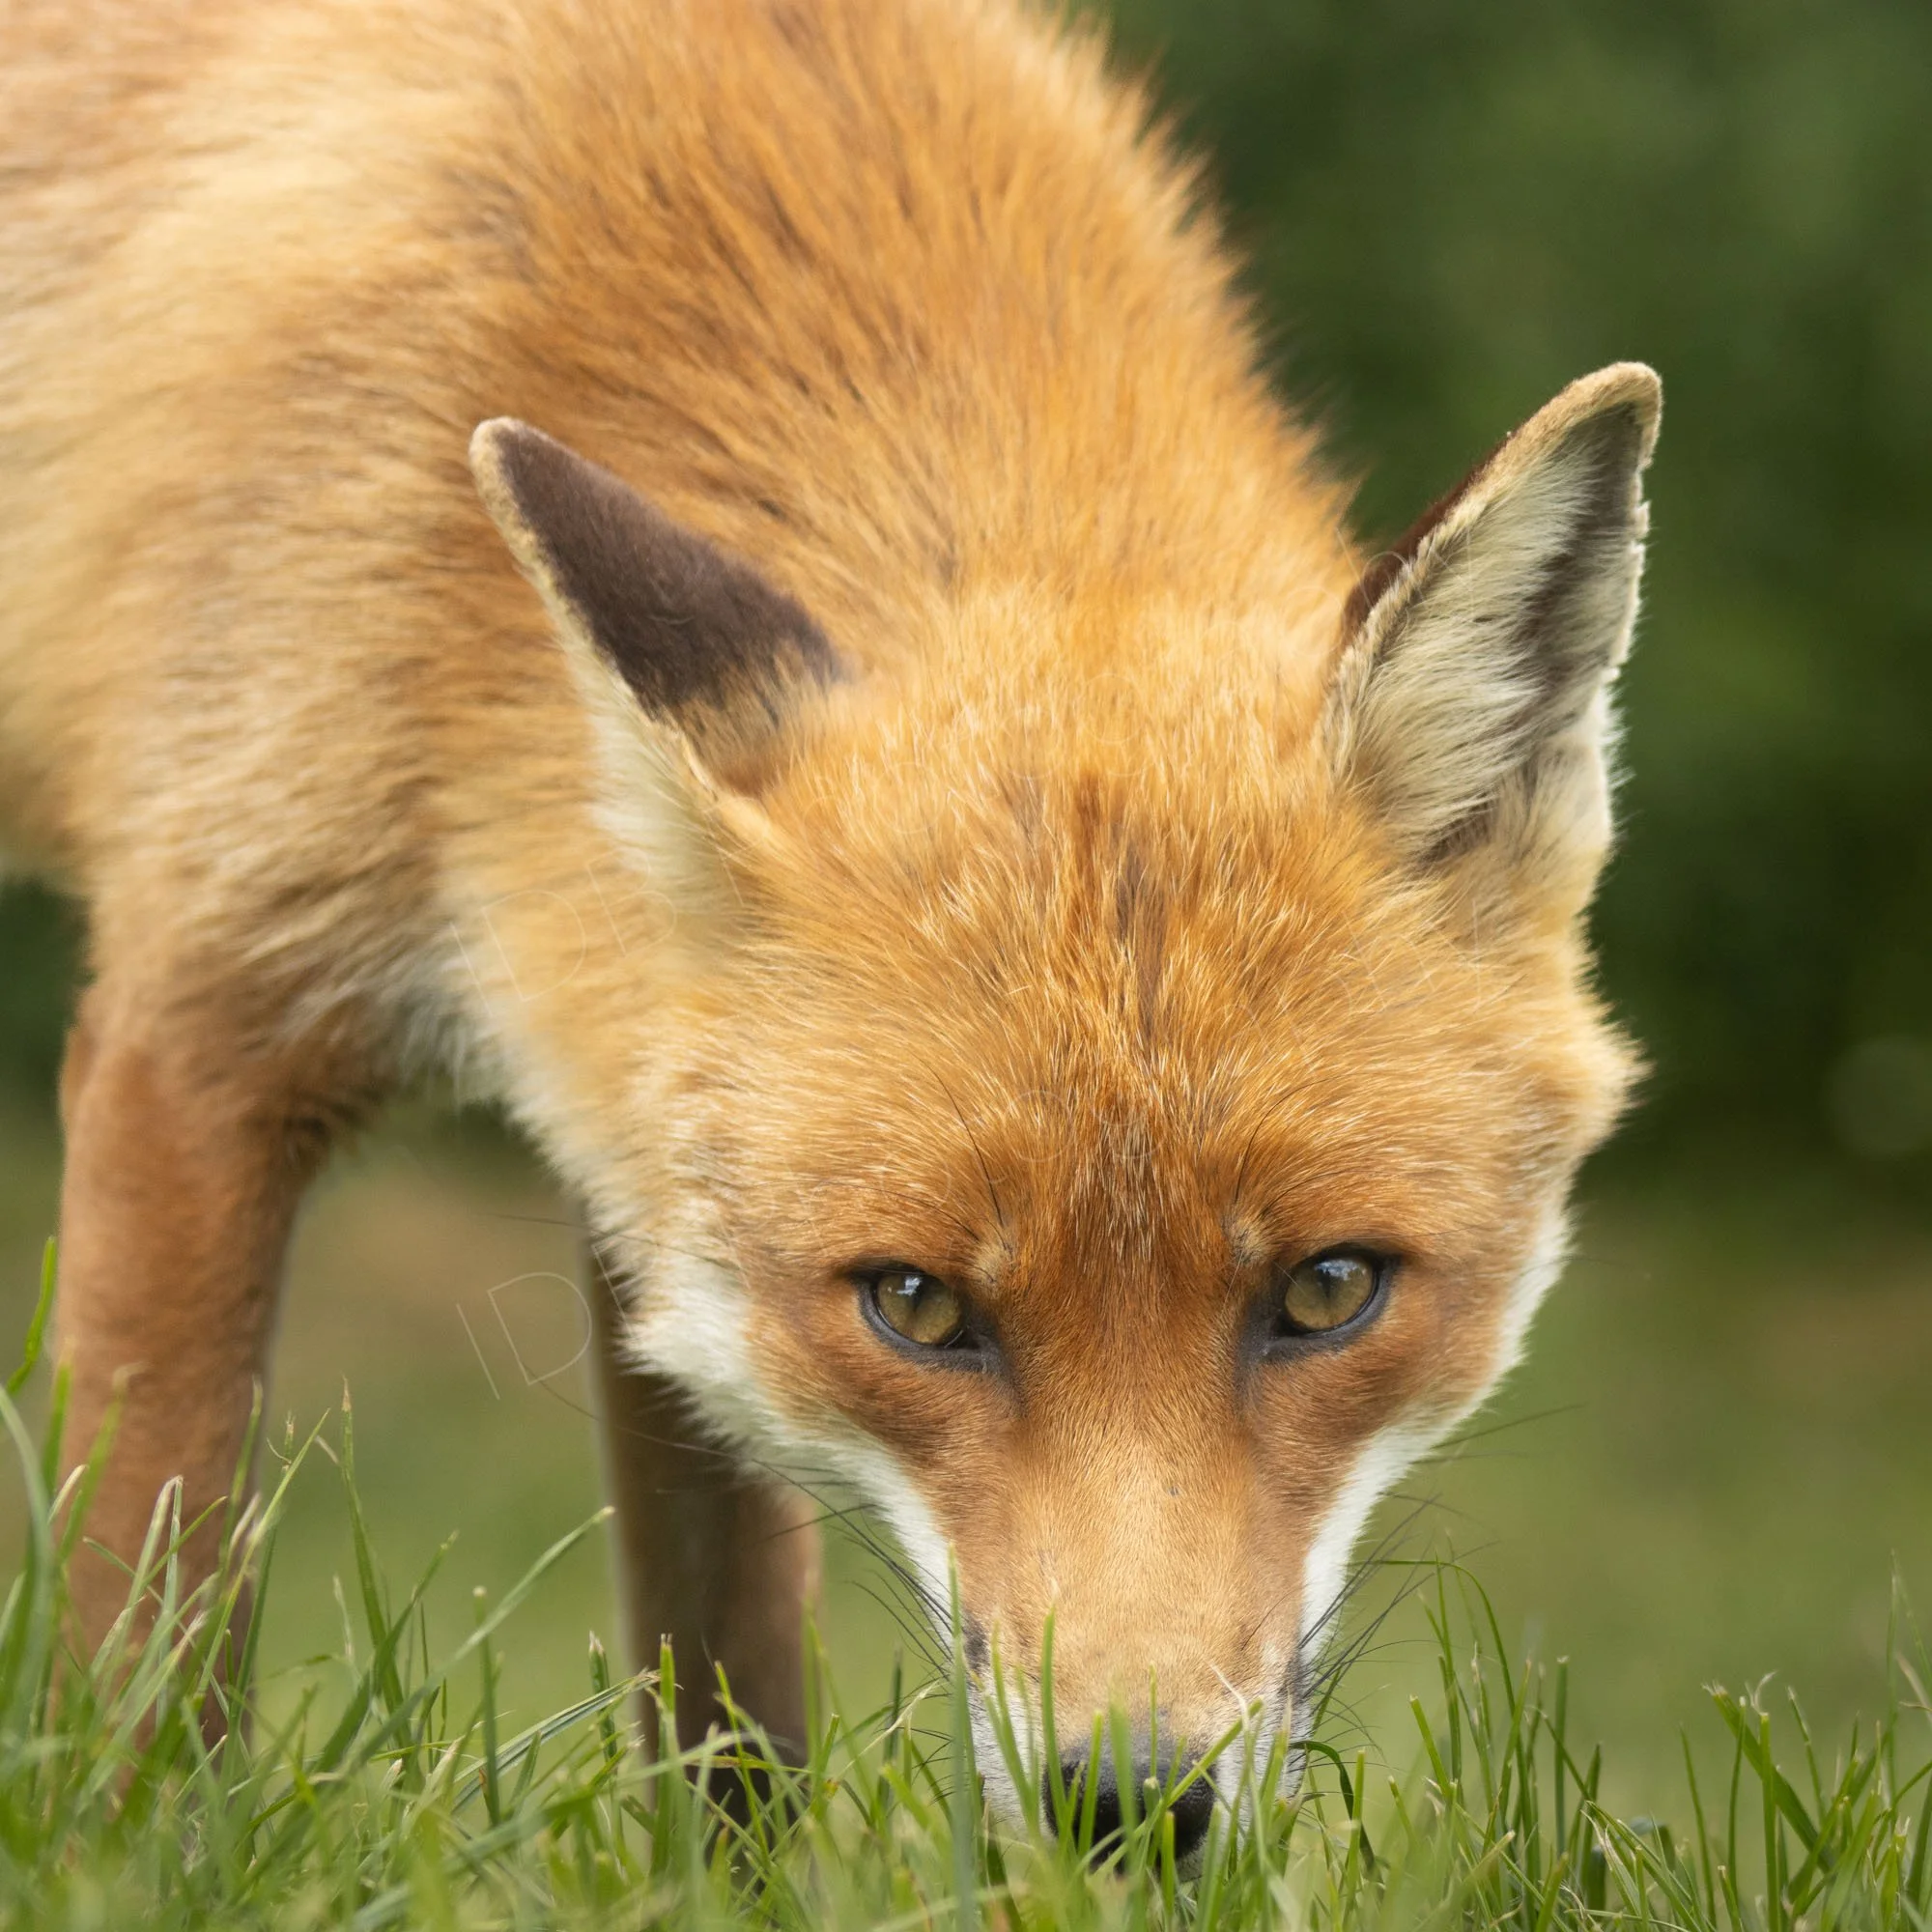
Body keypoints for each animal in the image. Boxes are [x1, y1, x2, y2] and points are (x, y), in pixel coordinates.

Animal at [0, 0, 1656, 1847]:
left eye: (1329, 1292)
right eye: (919, 1308)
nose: (1130, 1810)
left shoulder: (635, 1161)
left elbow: (729, 1676)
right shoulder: (203, 1006)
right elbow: (148, 1627)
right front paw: (125, 1856)